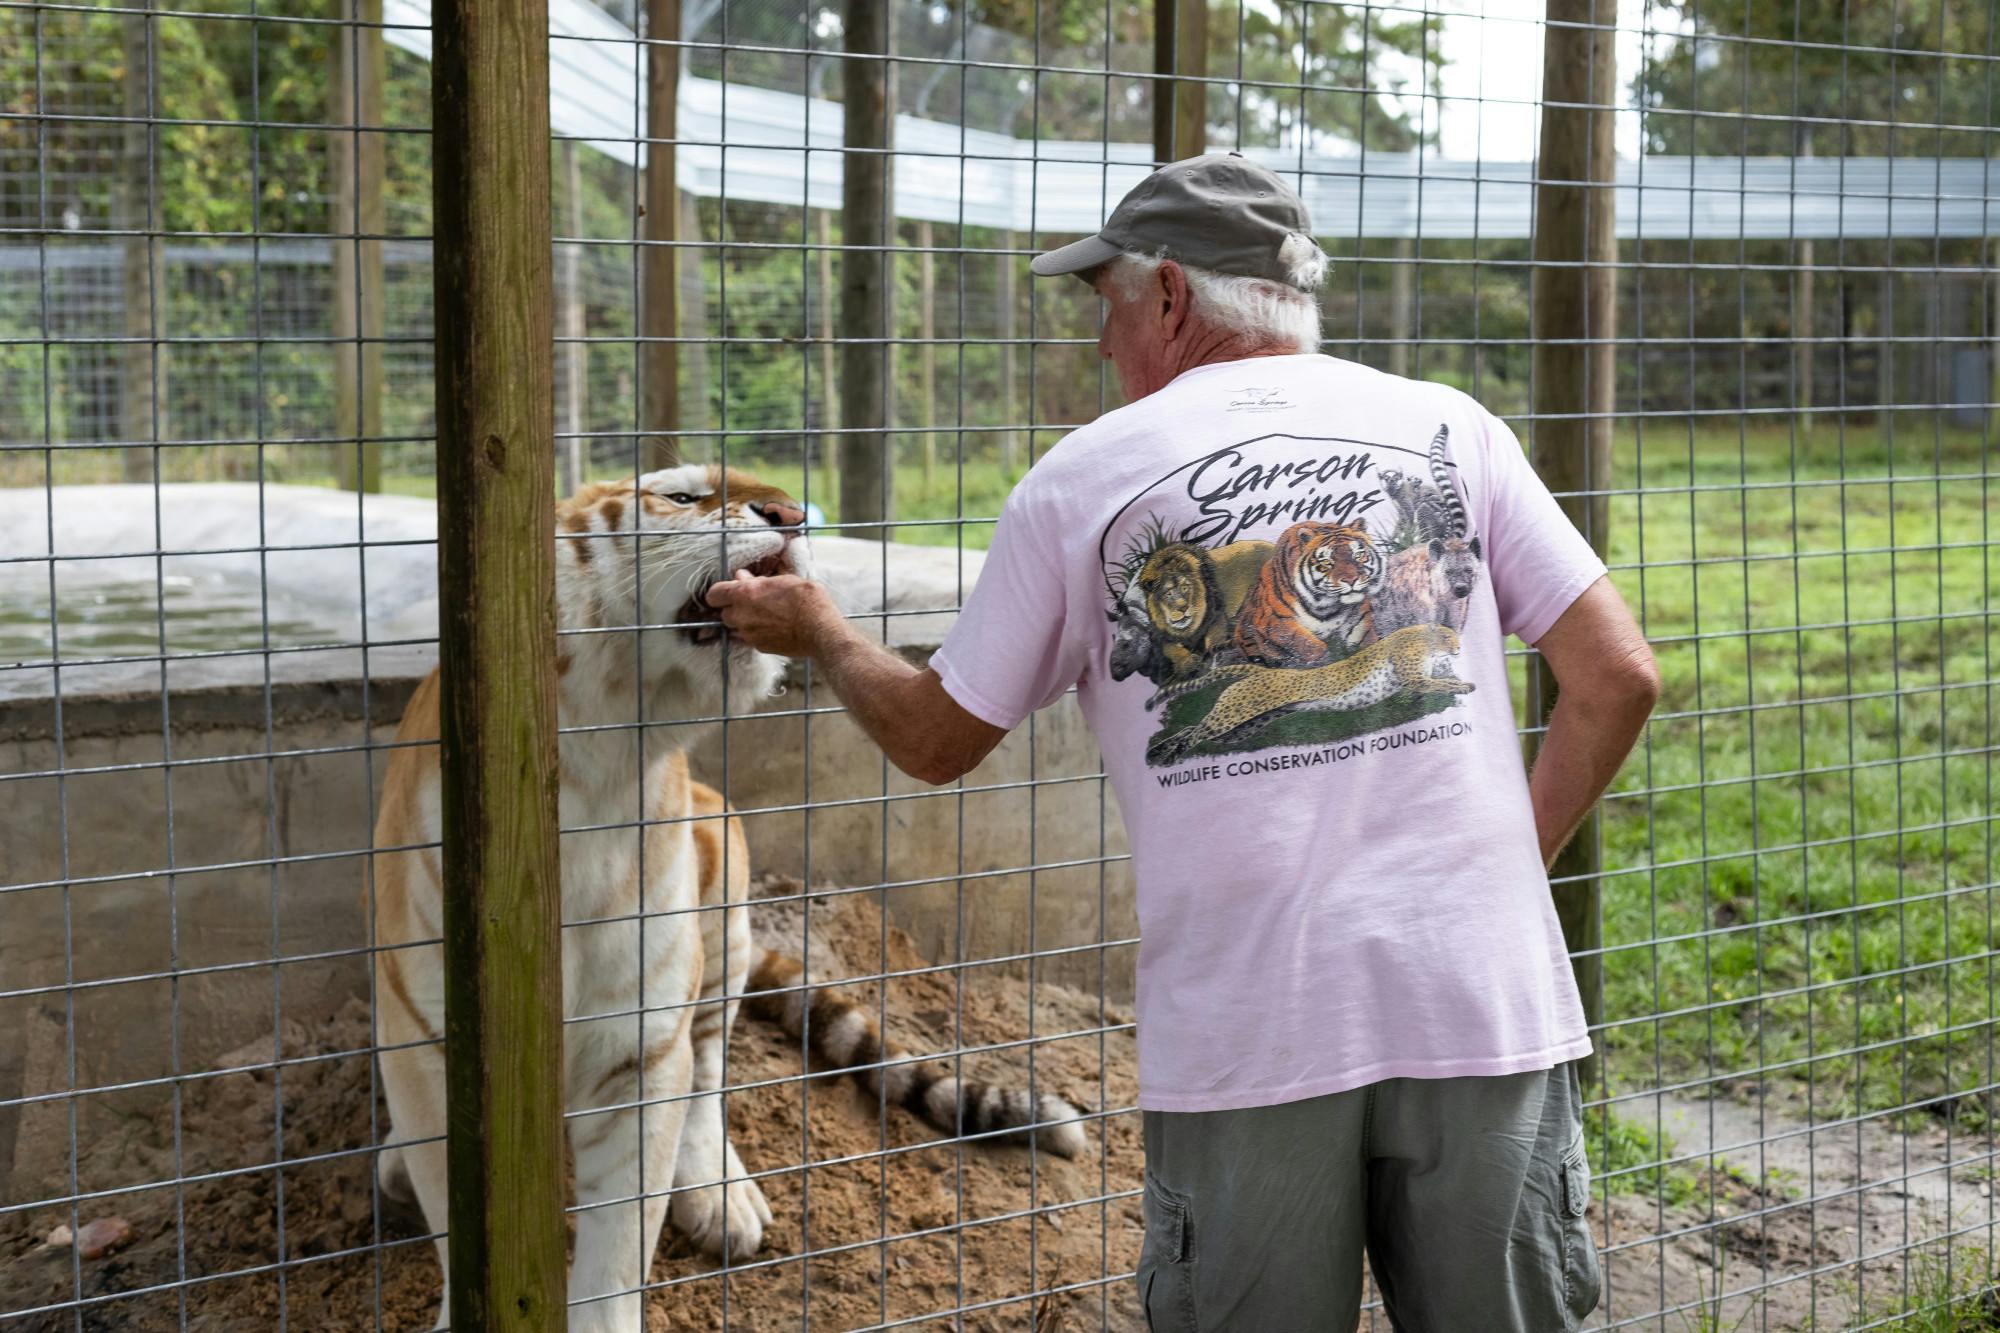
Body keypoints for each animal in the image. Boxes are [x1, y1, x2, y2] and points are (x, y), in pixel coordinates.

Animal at [370, 465, 1085, 1333]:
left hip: (723, 885)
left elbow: (620, 1242)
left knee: (708, 1073)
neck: (599, 767)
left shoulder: (639, 1045)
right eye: (680, 497)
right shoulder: (429, 1045)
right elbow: (455, 1211)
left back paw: (724, 1198)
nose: (791, 513)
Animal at [1148, 624, 1473, 766]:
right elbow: (1441, 684)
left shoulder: (1414, 681)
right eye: (1449, 637)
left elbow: (1435, 685)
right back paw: (1166, 754)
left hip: (1244, 727)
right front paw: (1464, 687)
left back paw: (1162, 751)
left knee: (1196, 729)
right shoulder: (1414, 678)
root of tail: (1260, 670)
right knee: (1197, 730)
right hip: (1235, 715)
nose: (1459, 648)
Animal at [1232, 520, 1385, 669]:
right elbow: (1306, 643)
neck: (1329, 606)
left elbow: (1366, 642)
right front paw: (1323, 660)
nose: (1351, 580)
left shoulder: (1358, 619)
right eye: (1327, 562)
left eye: (1358, 555)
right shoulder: (1272, 620)